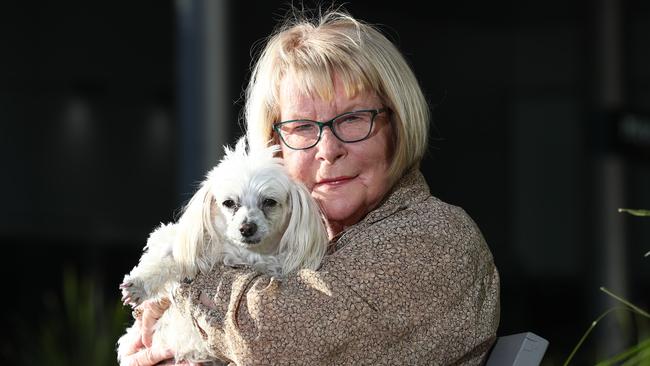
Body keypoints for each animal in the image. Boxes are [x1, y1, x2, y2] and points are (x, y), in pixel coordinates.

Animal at [114, 137, 326, 364]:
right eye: (229, 203)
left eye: (269, 202)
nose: (247, 228)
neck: (243, 253)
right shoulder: (182, 242)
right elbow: (169, 259)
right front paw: (139, 285)